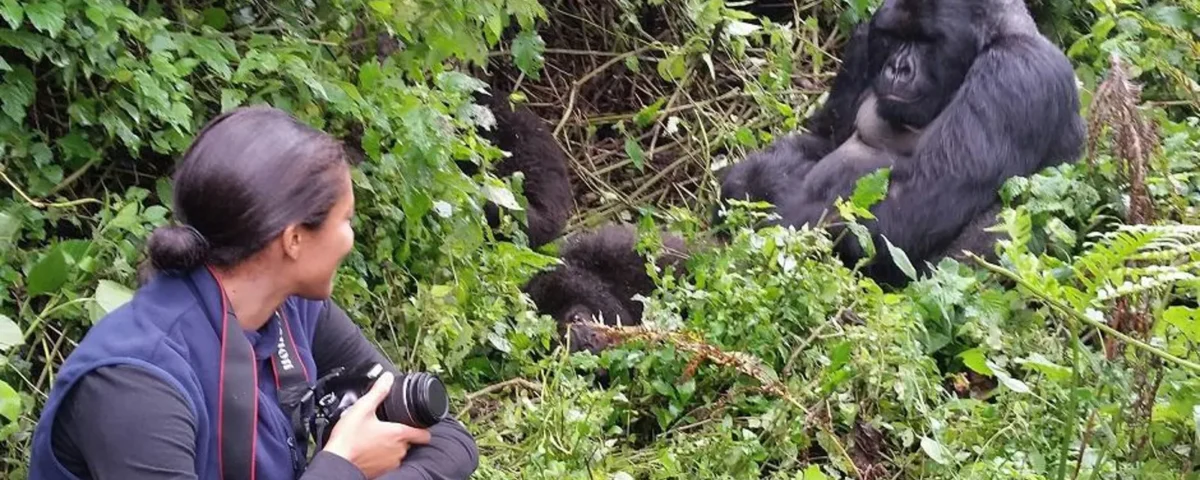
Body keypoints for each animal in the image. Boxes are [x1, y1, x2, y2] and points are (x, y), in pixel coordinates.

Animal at [715, 0, 1094, 285]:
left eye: (927, 41)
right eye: (894, 36)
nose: (899, 68)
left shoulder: (1018, 71)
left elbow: (912, 205)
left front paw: (770, 221)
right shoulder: (864, 41)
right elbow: (824, 138)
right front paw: (748, 181)